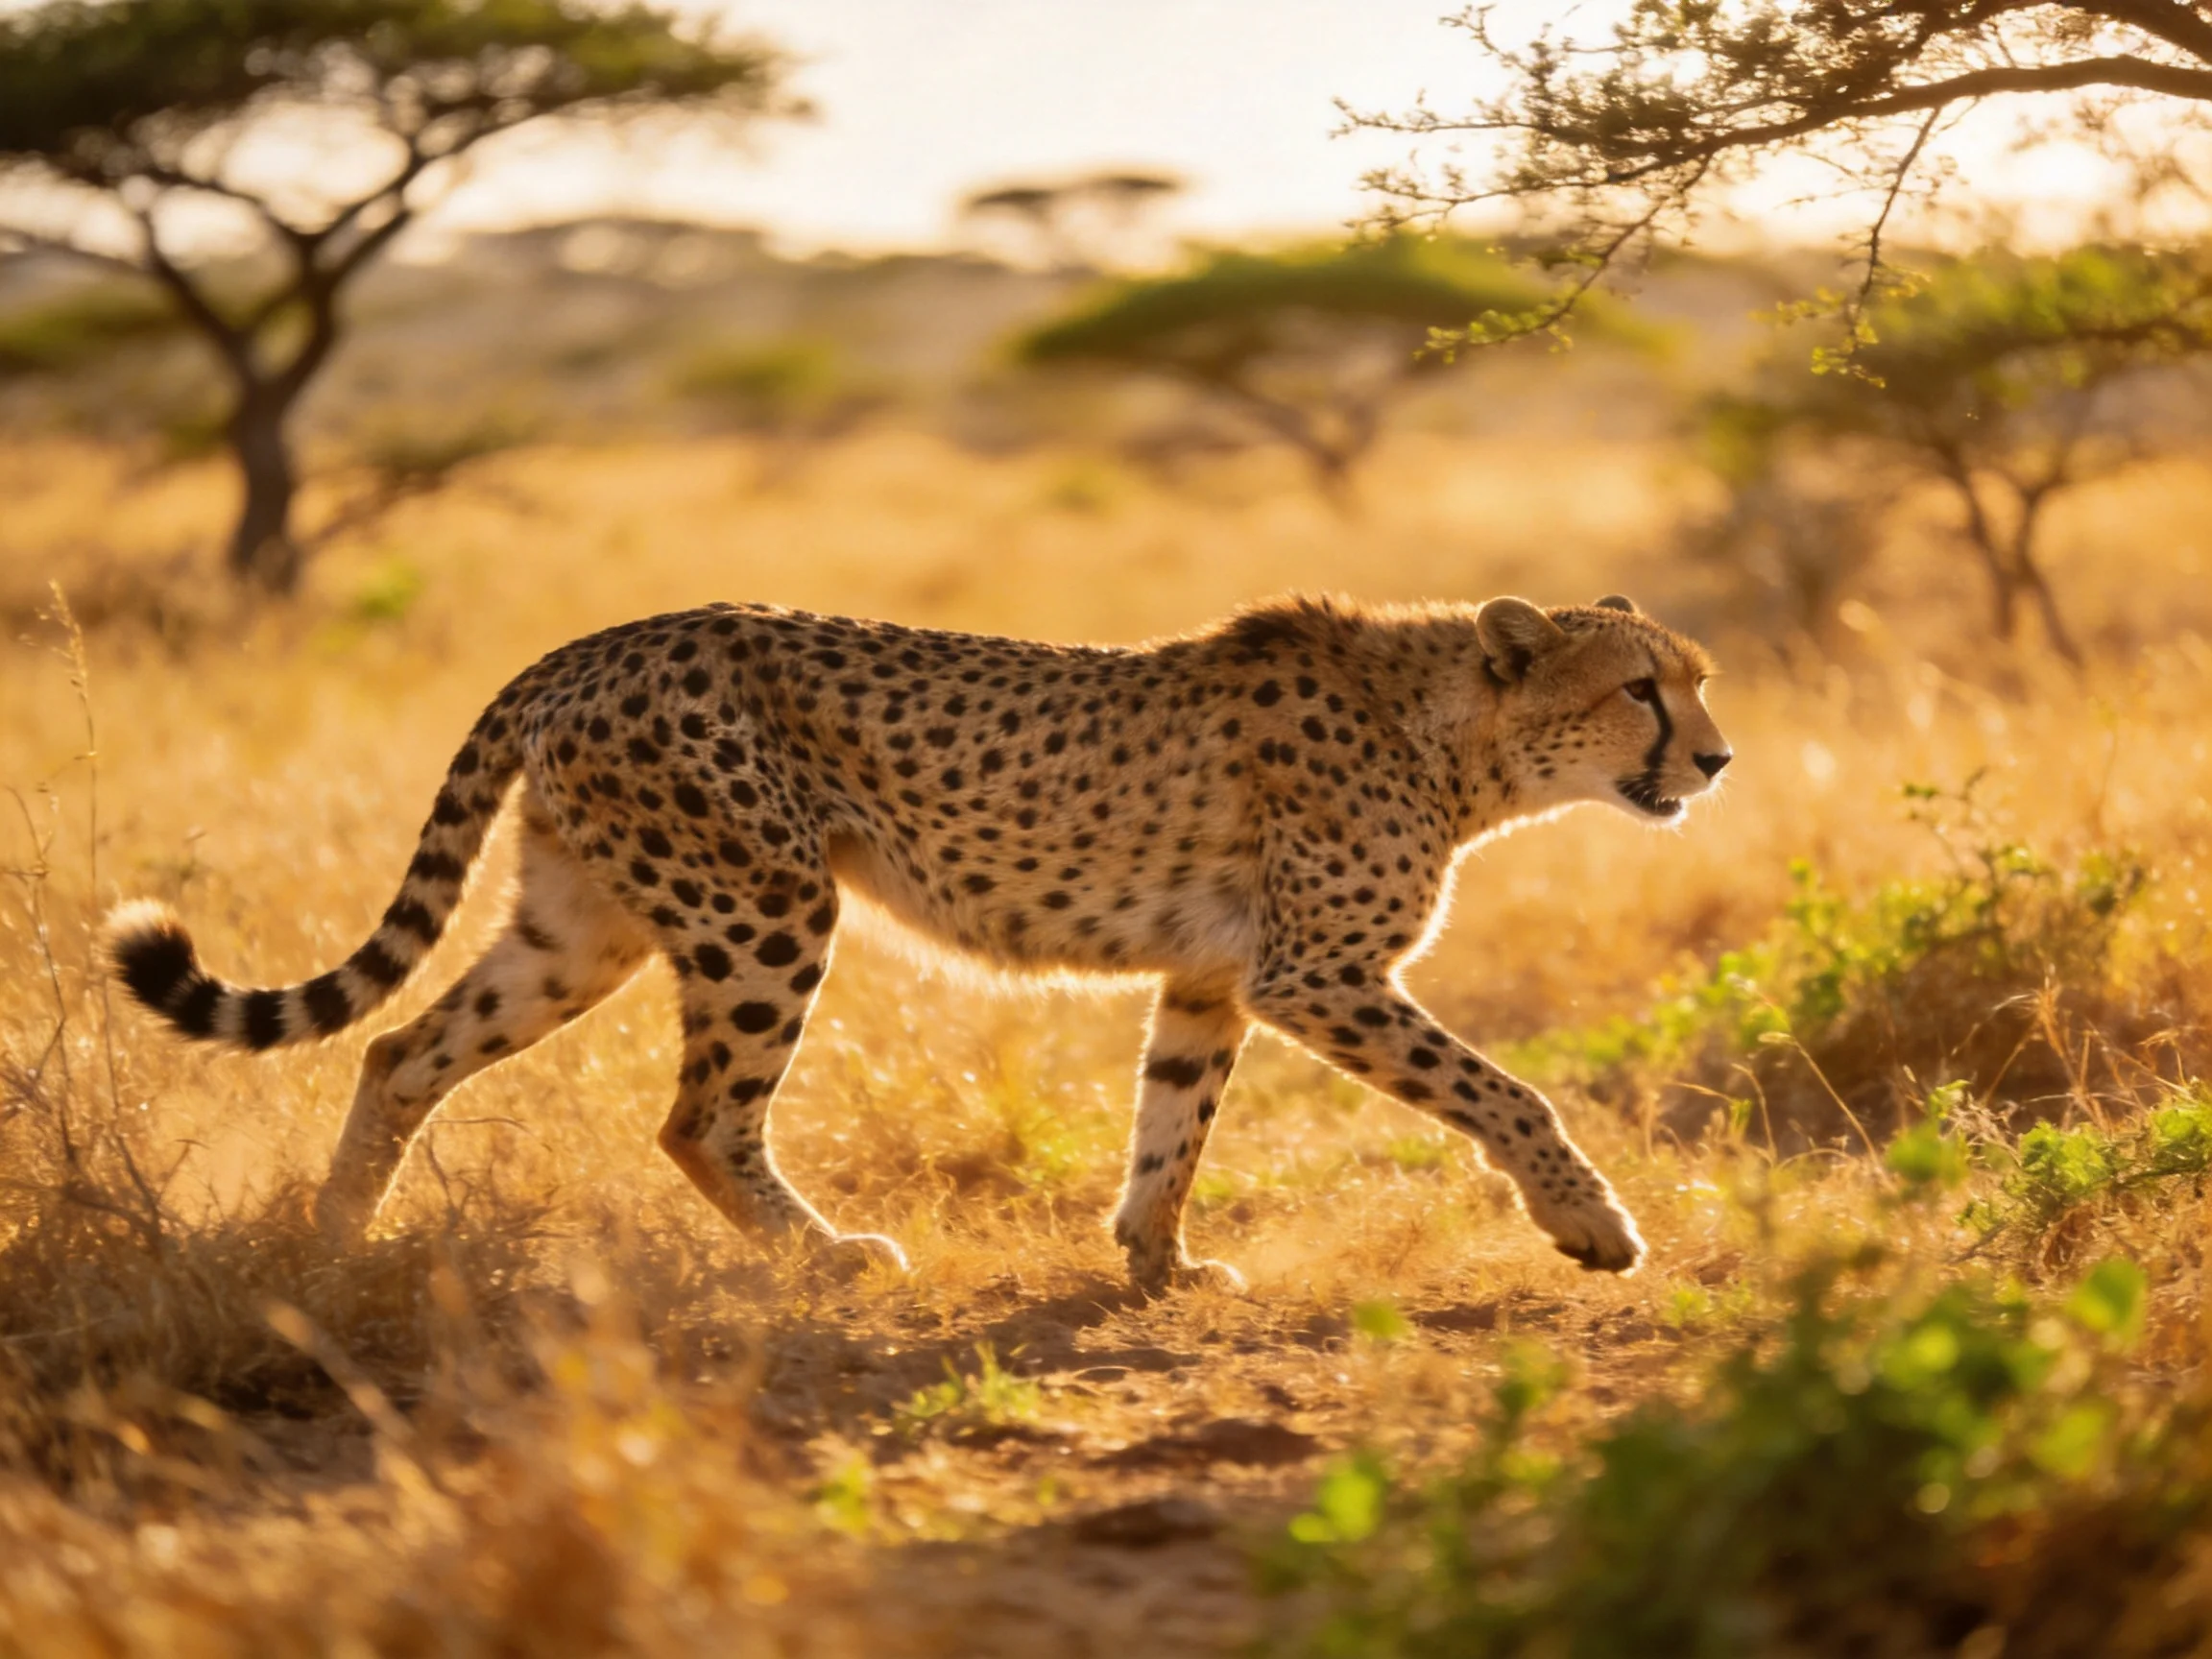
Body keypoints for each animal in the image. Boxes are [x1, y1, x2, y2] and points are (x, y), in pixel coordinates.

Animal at [107, 591, 1730, 1291]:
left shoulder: (1214, 975)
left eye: (1696, 679)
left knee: (400, 1046)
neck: (1460, 734)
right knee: (700, 1117)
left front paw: (1155, 1262)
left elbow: (1174, 1121)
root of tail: (597, 639)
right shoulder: (1315, 973)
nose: (1717, 761)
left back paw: (330, 1252)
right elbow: (1507, 1090)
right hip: (764, 907)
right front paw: (1594, 1226)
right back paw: (830, 1256)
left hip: (584, 924)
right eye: (1643, 688)